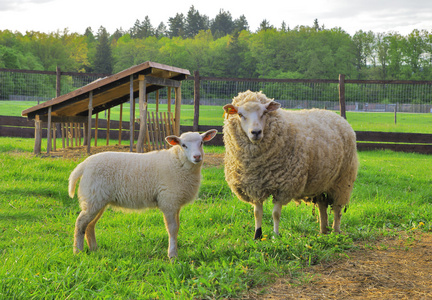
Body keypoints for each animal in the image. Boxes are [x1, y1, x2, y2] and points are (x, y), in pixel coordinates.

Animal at [69, 129, 218, 258]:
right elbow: (172, 228)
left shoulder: (175, 202)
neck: (177, 161)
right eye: (183, 145)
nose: (197, 156)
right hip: (93, 197)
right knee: (80, 223)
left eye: (202, 143)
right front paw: (172, 255)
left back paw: (94, 249)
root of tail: (84, 165)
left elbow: (177, 227)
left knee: (90, 225)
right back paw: (77, 251)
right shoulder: (168, 201)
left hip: (97, 199)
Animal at [223, 90, 358, 238]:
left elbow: (276, 214)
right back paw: (323, 231)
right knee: (322, 205)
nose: (256, 132)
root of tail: (336, 115)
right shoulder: (255, 186)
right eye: (240, 115)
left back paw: (336, 231)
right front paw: (257, 235)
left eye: (264, 112)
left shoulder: (283, 186)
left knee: (338, 208)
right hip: (322, 181)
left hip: (343, 179)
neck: (256, 165)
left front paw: (275, 235)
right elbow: (257, 213)